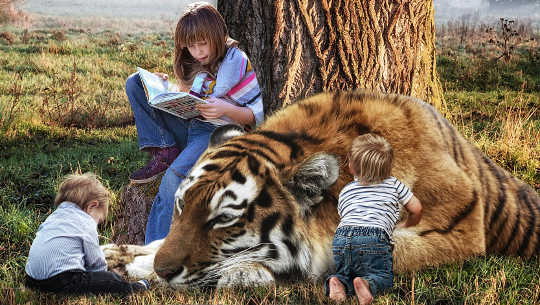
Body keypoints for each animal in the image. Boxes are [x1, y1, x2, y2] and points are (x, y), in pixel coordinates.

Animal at [102, 89, 540, 288]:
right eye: (180, 206)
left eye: (224, 219)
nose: (163, 270)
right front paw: (122, 255)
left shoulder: (461, 229)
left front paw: (244, 270)